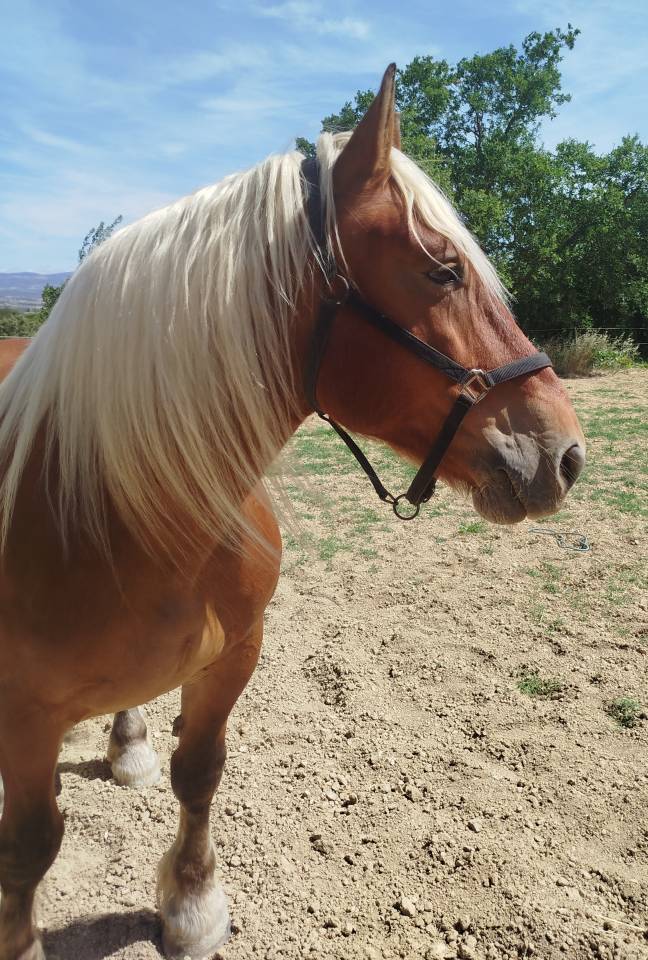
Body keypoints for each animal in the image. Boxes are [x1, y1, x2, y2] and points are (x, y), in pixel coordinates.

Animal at [0, 64, 585, 960]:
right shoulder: (22, 720)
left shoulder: (234, 655)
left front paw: (192, 905)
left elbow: (199, 774)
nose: (566, 455)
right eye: (443, 271)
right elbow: (29, 847)